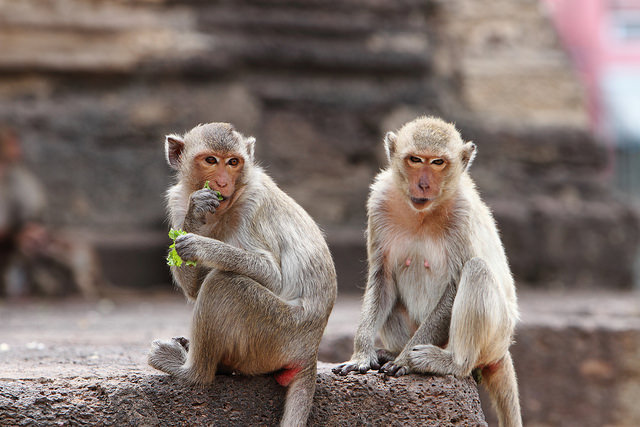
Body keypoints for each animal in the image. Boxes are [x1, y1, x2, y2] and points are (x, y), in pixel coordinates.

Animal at [149, 122, 338, 426]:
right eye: (211, 160)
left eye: (233, 162)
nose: (223, 183)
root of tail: (311, 351)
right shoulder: (177, 201)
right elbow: (194, 286)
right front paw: (196, 212)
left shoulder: (252, 204)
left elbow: (271, 275)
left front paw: (200, 244)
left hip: (277, 333)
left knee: (224, 284)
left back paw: (192, 372)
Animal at [332, 116, 524, 427]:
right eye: (415, 159)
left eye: (437, 162)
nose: (423, 184)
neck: (422, 213)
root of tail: (503, 348)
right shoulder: (379, 201)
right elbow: (382, 278)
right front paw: (362, 353)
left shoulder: (461, 212)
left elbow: (457, 283)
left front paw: (405, 361)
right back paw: (391, 351)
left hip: (496, 335)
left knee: (477, 271)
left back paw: (451, 362)